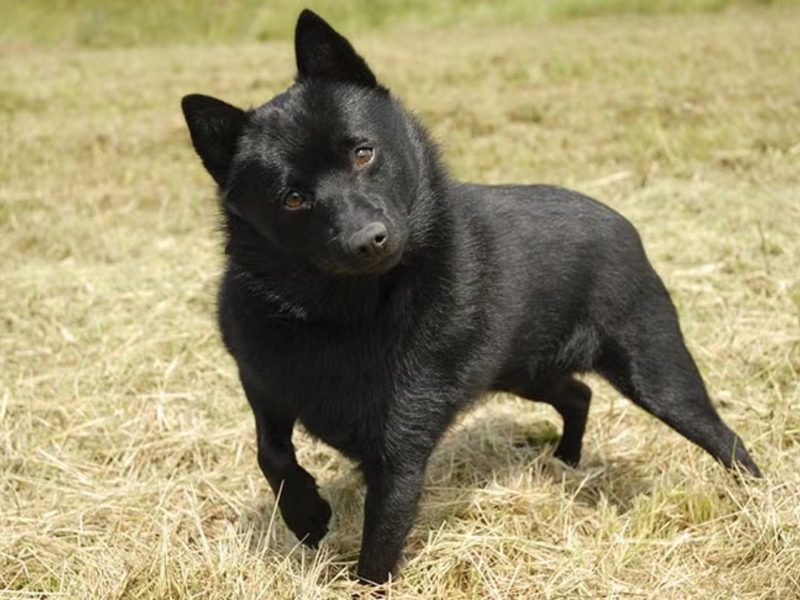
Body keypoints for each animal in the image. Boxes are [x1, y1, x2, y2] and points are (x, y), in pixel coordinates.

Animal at [181, 8, 764, 580]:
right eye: (294, 199)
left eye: (363, 153)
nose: (367, 240)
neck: (343, 314)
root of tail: (621, 221)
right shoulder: (263, 383)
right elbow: (272, 452)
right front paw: (306, 515)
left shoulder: (401, 450)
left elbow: (378, 552)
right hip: (528, 372)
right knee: (579, 394)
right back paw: (565, 461)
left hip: (656, 374)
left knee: (724, 436)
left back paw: (758, 500)